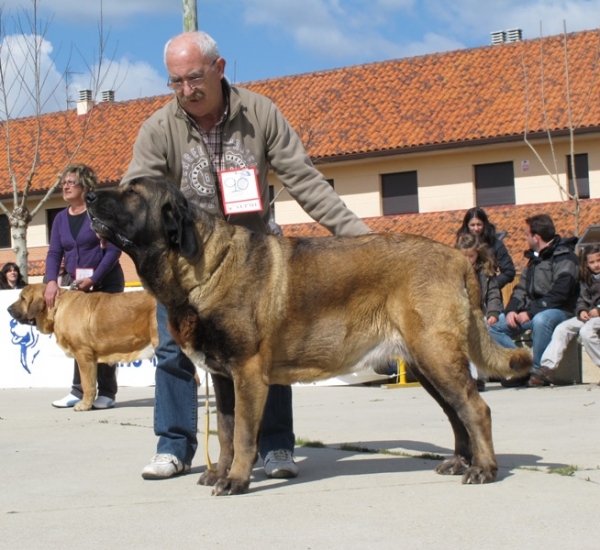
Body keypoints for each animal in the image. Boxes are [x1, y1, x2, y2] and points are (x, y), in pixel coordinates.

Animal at [7, 286, 157, 412]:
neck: (57, 308)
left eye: (22, 298)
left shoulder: (83, 355)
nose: (8, 309)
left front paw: (84, 405)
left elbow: (87, 384)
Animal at [85, 179, 528, 498]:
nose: (87, 195)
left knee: (475, 409)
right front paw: (221, 473)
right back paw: (459, 462)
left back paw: (483, 470)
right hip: (425, 363)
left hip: (436, 355)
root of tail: (457, 258)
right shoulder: (225, 379)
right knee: (456, 413)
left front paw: (236, 480)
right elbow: (225, 434)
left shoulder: (247, 374)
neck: (203, 267)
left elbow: (243, 434)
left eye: (131, 193)